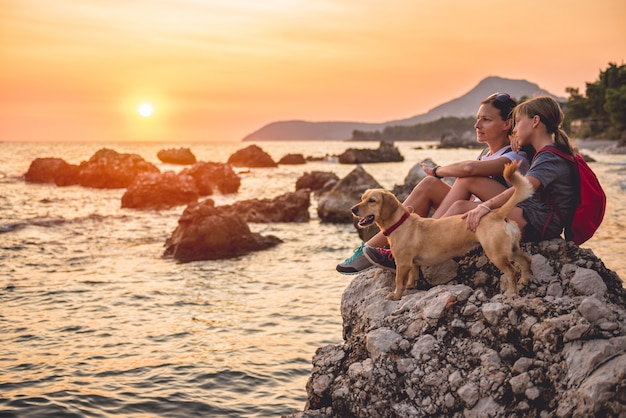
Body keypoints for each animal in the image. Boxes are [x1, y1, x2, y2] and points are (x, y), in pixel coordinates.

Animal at [352, 161, 532, 300]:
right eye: (362, 198)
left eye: (372, 201)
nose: (353, 209)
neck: (400, 222)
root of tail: (497, 213)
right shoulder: (412, 263)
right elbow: (413, 274)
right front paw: (410, 285)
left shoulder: (402, 263)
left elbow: (398, 281)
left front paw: (396, 295)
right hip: (512, 249)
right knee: (526, 260)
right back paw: (525, 280)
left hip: (496, 254)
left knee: (512, 271)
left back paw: (511, 293)